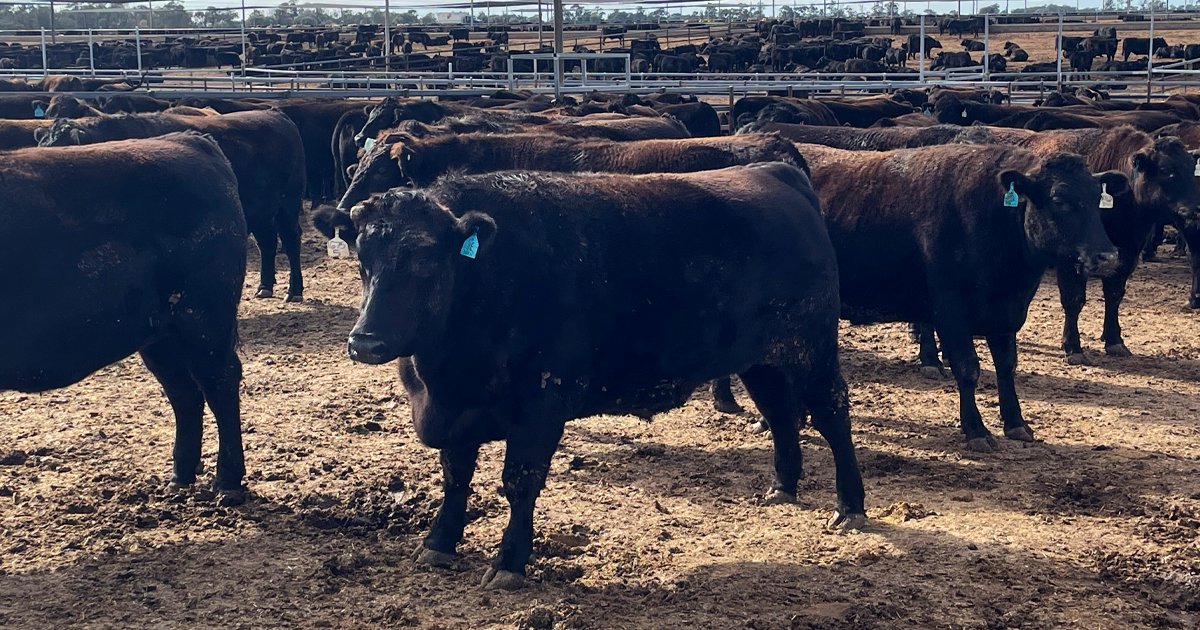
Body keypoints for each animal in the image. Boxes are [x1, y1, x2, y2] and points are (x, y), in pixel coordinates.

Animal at [0, 132, 248, 503]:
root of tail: (190, 140)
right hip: (161, 335)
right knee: (184, 392)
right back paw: (180, 477)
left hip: (204, 318)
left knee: (219, 383)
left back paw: (227, 482)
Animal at [38, 110, 307, 302]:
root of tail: (277, 115)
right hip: (260, 211)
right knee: (267, 243)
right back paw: (264, 287)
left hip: (287, 204)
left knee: (291, 240)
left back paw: (294, 290)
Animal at [315, 163, 866, 589]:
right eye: (363, 259)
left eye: (426, 260)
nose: (366, 342)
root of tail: (776, 172)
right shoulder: (457, 413)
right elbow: (455, 477)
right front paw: (438, 543)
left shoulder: (541, 407)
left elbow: (519, 483)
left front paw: (509, 563)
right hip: (761, 359)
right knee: (781, 414)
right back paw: (782, 487)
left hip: (812, 348)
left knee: (833, 415)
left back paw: (850, 506)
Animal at [793, 143, 1121, 451]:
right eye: (1059, 200)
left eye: (1097, 199)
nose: (1107, 256)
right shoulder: (951, 311)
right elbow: (967, 368)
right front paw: (976, 430)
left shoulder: (1004, 314)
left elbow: (1007, 366)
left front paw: (1016, 423)